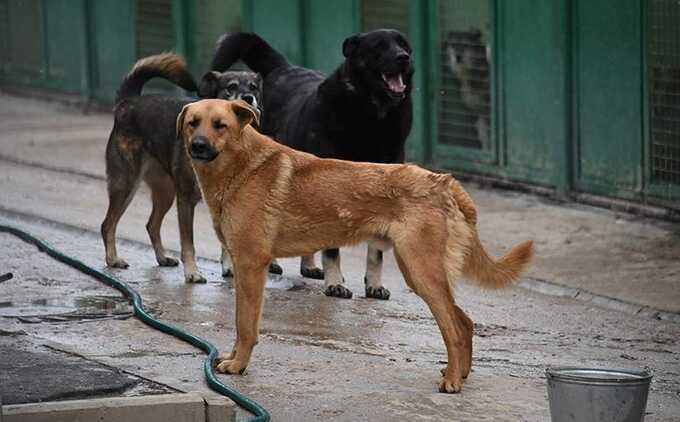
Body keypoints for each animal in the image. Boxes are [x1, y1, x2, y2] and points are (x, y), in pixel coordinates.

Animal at [178, 98, 532, 392]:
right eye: (193, 123)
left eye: (220, 125)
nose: (197, 146)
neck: (242, 166)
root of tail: (443, 182)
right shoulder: (242, 267)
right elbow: (241, 325)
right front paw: (232, 359)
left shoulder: (252, 265)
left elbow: (246, 325)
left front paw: (239, 365)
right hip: (419, 272)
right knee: (465, 321)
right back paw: (460, 373)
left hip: (422, 272)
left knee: (455, 328)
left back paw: (452, 383)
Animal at [212, 30, 414, 300]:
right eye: (379, 46)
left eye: (403, 44)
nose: (403, 57)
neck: (370, 114)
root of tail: (283, 67)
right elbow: (332, 249)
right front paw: (334, 283)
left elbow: (376, 252)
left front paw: (374, 284)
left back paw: (308, 266)